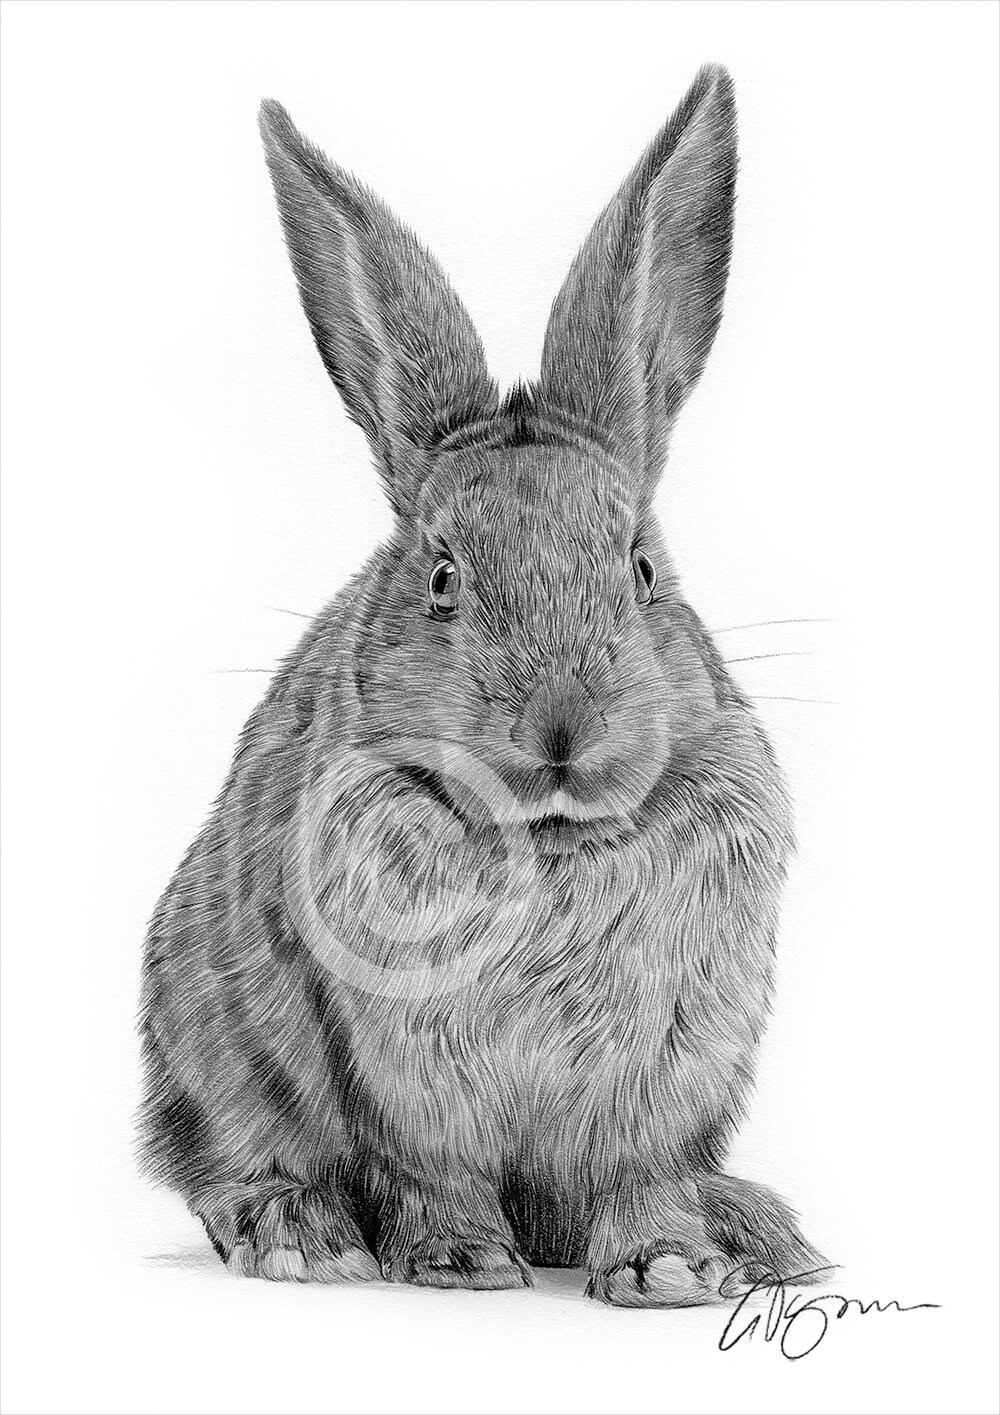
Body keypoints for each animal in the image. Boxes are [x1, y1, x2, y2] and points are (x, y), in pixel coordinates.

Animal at [138, 63, 825, 1306]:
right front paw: (460, 1264)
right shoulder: (406, 1076)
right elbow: (432, 1169)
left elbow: (636, 1176)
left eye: (640, 568)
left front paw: (667, 1267)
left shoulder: (659, 1076)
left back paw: (758, 1233)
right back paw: (300, 1231)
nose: (560, 724)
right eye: (443, 575)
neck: (547, 838)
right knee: (230, 1161)